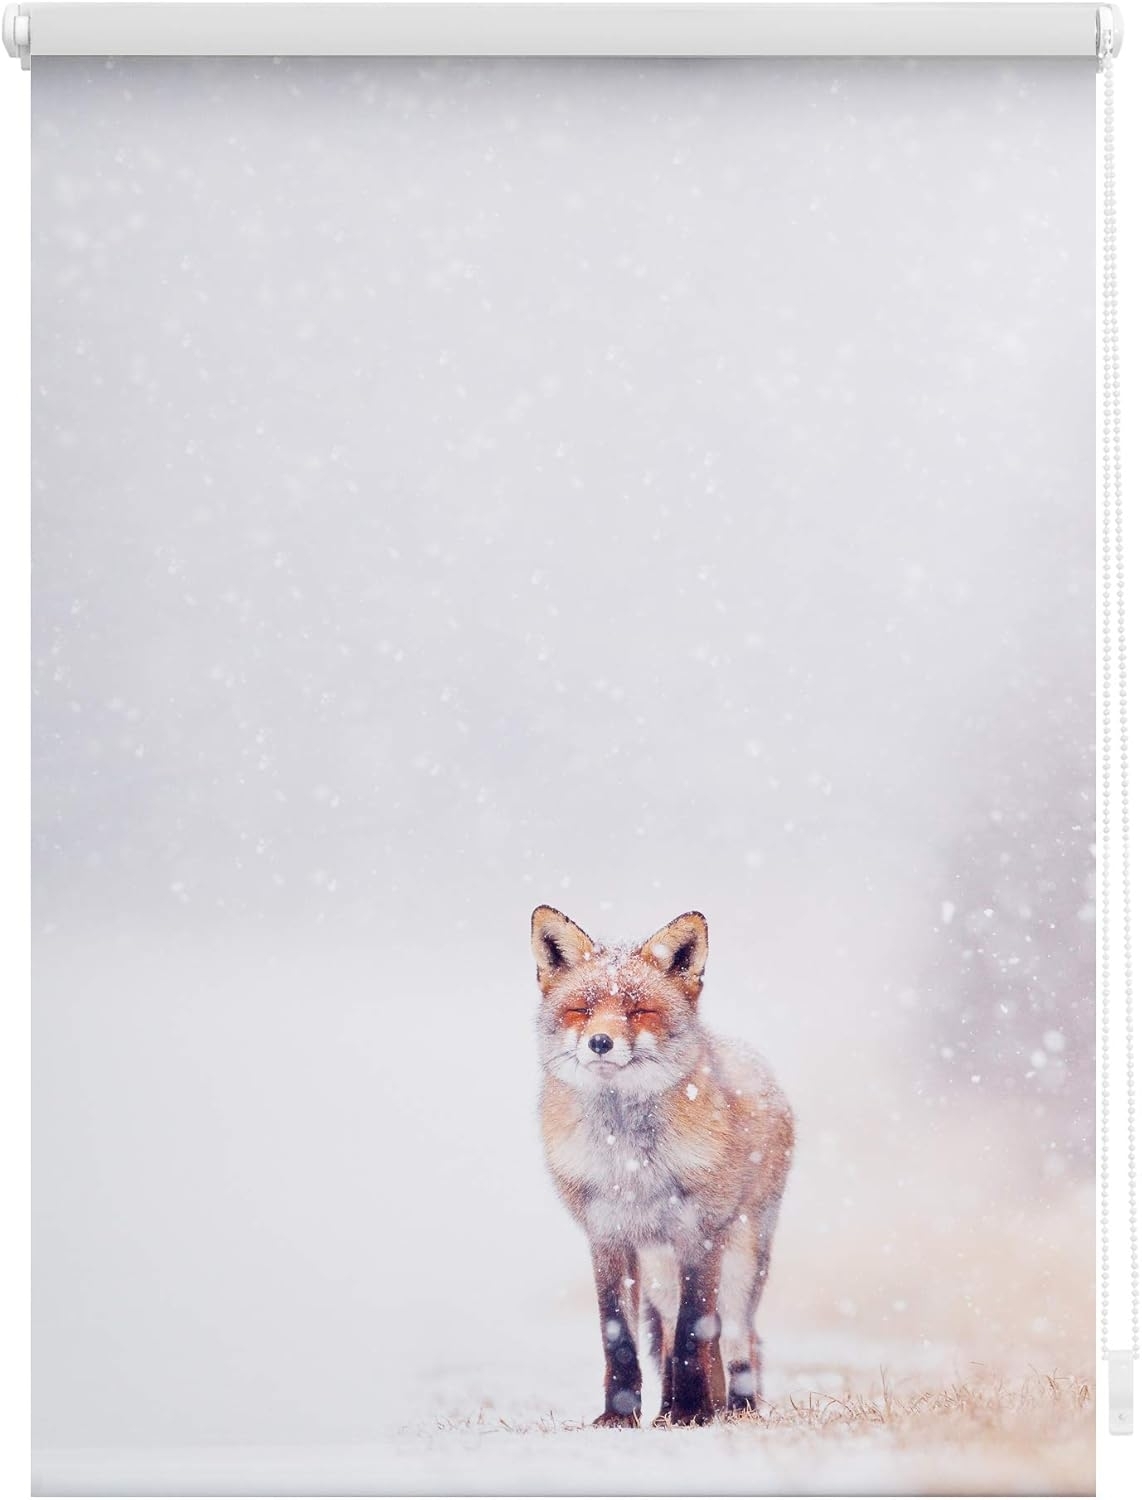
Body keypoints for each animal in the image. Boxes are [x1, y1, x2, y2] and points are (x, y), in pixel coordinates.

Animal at [531, 905, 794, 1428]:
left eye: (638, 1012)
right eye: (582, 1010)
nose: (600, 1042)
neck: (629, 1162)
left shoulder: (699, 1233)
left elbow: (697, 1332)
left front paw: (695, 1413)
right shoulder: (607, 1235)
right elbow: (621, 1337)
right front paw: (620, 1417)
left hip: (741, 1257)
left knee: (737, 1337)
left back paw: (733, 1409)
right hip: (657, 1268)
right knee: (670, 1333)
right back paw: (667, 1410)